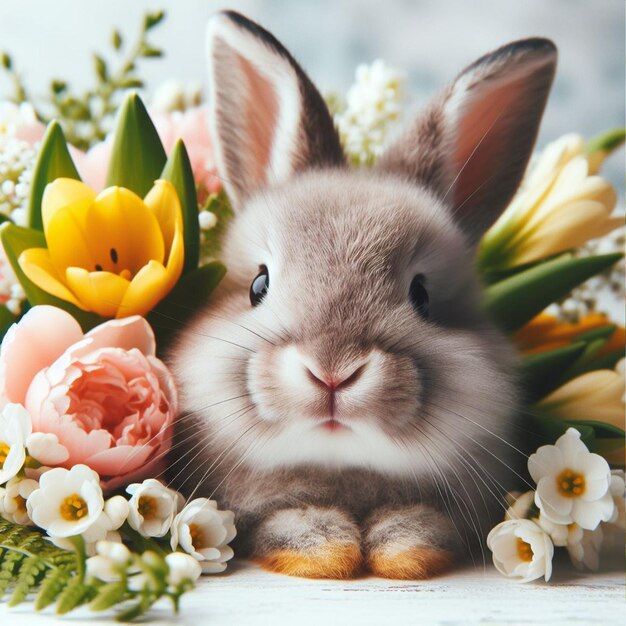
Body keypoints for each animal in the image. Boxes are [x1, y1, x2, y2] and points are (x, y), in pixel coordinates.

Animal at [166, 9, 556, 576]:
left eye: (422, 296)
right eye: (259, 284)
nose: (332, 372)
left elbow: (415, 522)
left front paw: (405, 553)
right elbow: (295, 521)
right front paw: (326, 555)